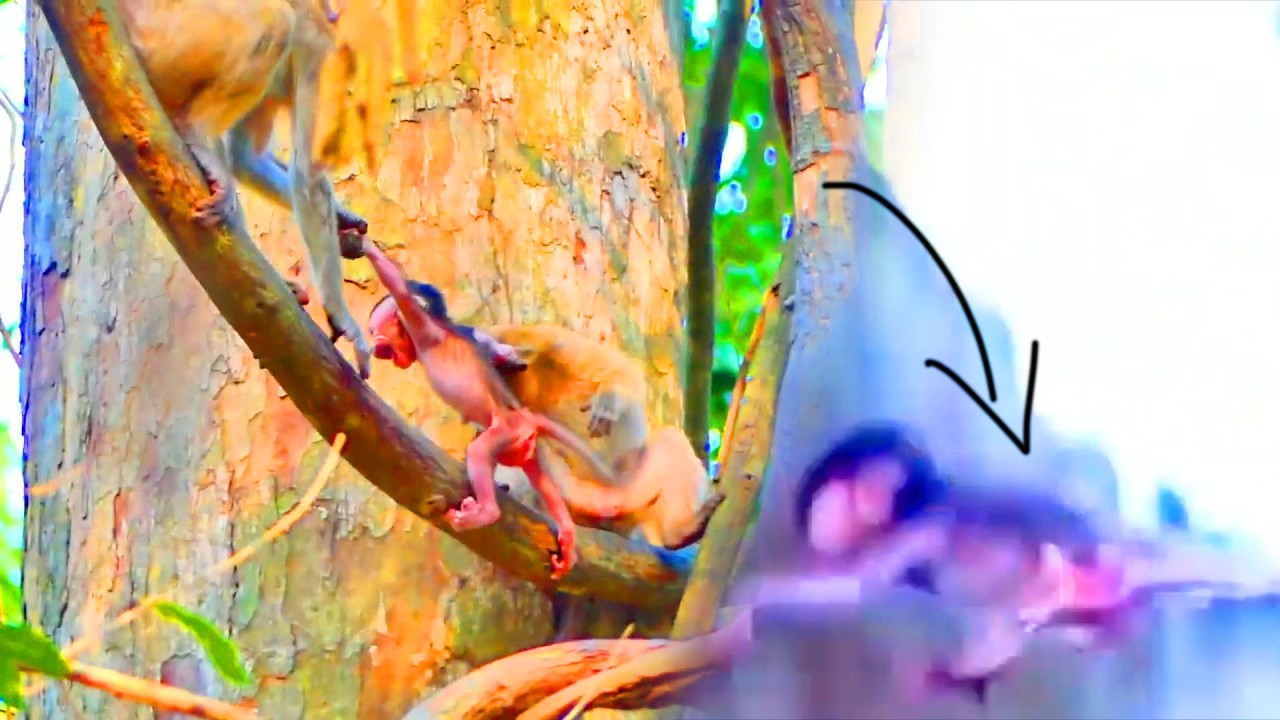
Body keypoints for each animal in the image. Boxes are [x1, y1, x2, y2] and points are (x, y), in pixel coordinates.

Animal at [117, 0, 372, 378]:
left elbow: (246, 158)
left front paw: (343, 217)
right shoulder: (317, 45)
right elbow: (307, 176)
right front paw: (341, 316)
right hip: (168, 42)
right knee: (275, 20)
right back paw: (197, 131)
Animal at [361, 238, 629, 579]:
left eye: (379, 338)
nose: (377, 350)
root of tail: (523, 416)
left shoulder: (421, 325)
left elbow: (400, 289)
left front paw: (366, 247)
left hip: (507, 430)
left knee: (480, 452)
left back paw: (486, 512)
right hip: (521, 443)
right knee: (539, 475)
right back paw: (567, 532)